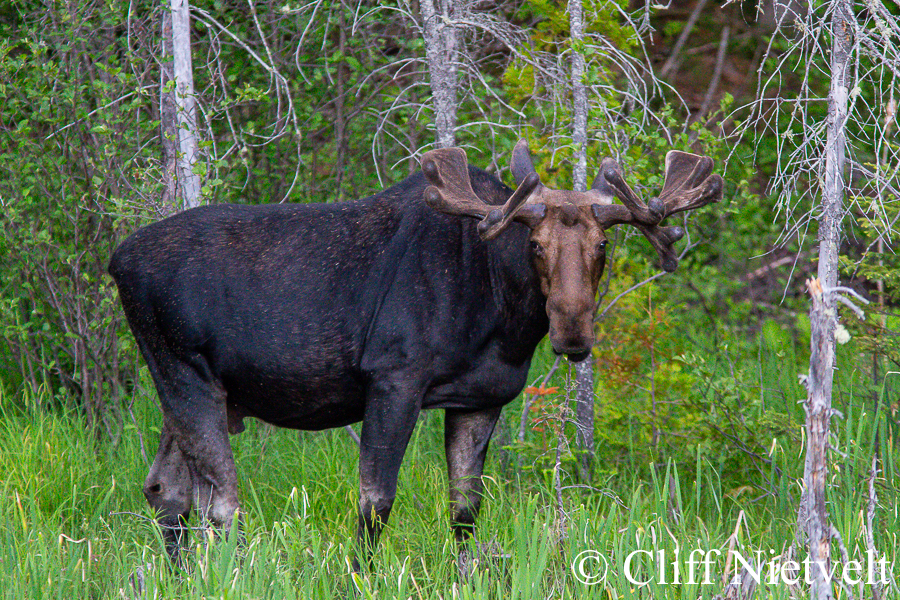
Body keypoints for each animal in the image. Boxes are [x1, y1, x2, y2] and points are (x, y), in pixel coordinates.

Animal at [107, 139, 724, 568]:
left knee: (165, 489)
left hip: (187, 388)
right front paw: (359, 575)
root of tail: (116, 260)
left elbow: (465, 508)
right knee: (220, 503)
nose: (573, 332)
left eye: (602, 244)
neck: (500, 318)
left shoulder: (481, 398)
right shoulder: (393, 380)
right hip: (185, 374)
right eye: (535, 244)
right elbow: (375, 501)